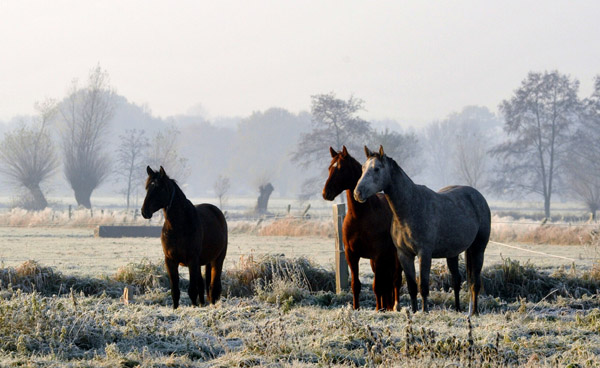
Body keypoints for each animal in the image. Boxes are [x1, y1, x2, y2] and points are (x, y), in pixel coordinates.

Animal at [142, 166, 229, 308]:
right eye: (147, 187)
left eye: (159, 188)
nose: (144, 212)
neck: (178, 227)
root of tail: (217, 212)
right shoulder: (170, 261)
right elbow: (175, 291)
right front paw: (176, 309)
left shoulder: (192, 260)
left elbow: (192, 290)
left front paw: (193, 307)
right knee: (202, 285)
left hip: (217, 259)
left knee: (213, 286)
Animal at [324, 147, 404, 310]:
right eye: (329, 168)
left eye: (341, 169)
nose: (326, 193)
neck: (360, 216)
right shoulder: (352, 255)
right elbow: (356, 285)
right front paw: (356, 308)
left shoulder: (377, 255)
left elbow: (377, 286)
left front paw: (379, 310)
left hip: (394, 256)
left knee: (395, 280)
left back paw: (393, 307)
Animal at [354, 145, 490, 314]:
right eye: (362, 168)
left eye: (377, 169)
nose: (357, 193)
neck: (409, 209)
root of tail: (478, 196)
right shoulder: (404, 255)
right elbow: (412, 286)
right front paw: (413, 312)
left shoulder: (424, 254)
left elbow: (423, 286)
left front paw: (425, 312)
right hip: (453, 253)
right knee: (456, 280)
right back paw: (458, 309)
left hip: (478, 249)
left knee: (474, 283)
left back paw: (474, 312)